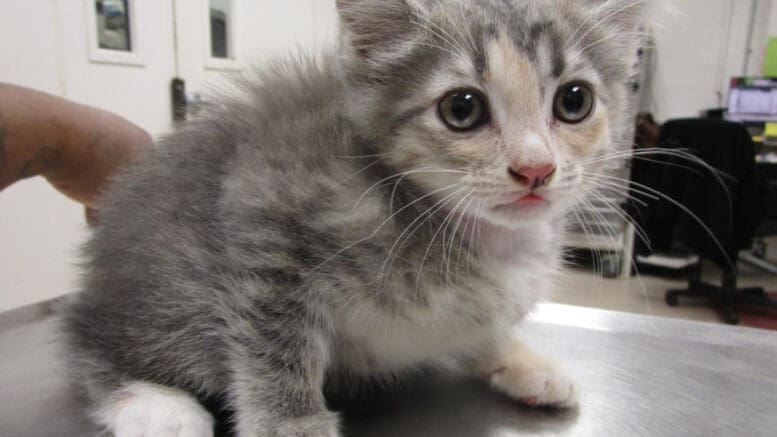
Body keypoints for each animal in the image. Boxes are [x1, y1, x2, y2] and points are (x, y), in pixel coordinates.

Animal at [62, 0, 644, 434]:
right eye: (462, 109)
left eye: (574, 101)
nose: (535, 169)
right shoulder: (264, 208)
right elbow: (275, 343)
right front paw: (291, 424)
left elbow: (486, 326)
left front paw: (522, 361)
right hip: (170, 282)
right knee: (86, 335)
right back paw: (155, 405)